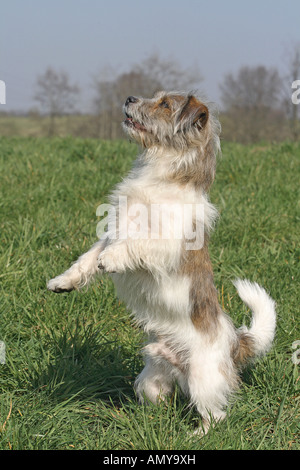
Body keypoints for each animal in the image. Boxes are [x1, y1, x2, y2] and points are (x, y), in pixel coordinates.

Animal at [47, 91, 276, 434]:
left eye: (165, 104)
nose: (130, 97)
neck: (161, 175)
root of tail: (235, 342)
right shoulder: (111, 232)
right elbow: (86, 260)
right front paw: (63, 282)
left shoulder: (165, 244)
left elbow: (134, 245)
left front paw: (111, 259)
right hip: (151, 379)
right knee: (159, 399)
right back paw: (147, 419)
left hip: (203, 379)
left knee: (216, 415)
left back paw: (196, 435)